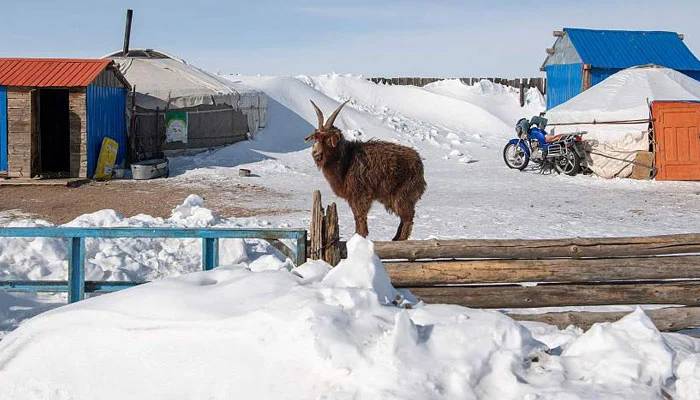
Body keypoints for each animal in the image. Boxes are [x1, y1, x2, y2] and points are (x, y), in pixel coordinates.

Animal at [304, 100, 424, 241]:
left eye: (328, 139)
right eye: (316, 138)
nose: (316, 154)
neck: (346, 160)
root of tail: (419, 162)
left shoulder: (360, 194)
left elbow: (360, 217)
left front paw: (359, 238)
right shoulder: (353, 197)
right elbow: (357, 217)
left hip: (403, 194)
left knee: (408, 217)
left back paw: (400, 239)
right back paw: (395, 238)